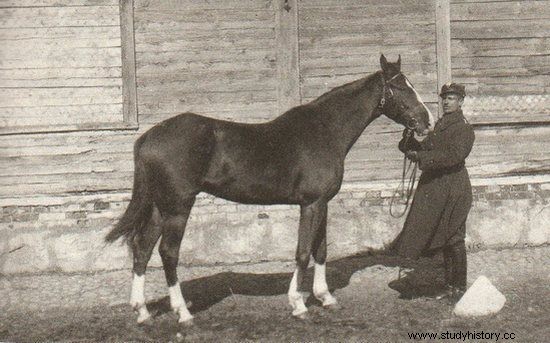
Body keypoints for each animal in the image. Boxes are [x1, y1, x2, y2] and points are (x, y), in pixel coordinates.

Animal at [105, 54, 438, 326]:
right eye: (401, 88)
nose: (428, 121)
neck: (325, 130)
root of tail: (147, 138)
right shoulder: (311, 203)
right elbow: (302, 252)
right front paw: (298, 305)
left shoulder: (324, 203)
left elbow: (320, 250)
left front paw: (326, 298)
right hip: (178, 207)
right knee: (168, 252)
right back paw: (183, 314)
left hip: (159, 206)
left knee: (142, 248)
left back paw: (143, 312)